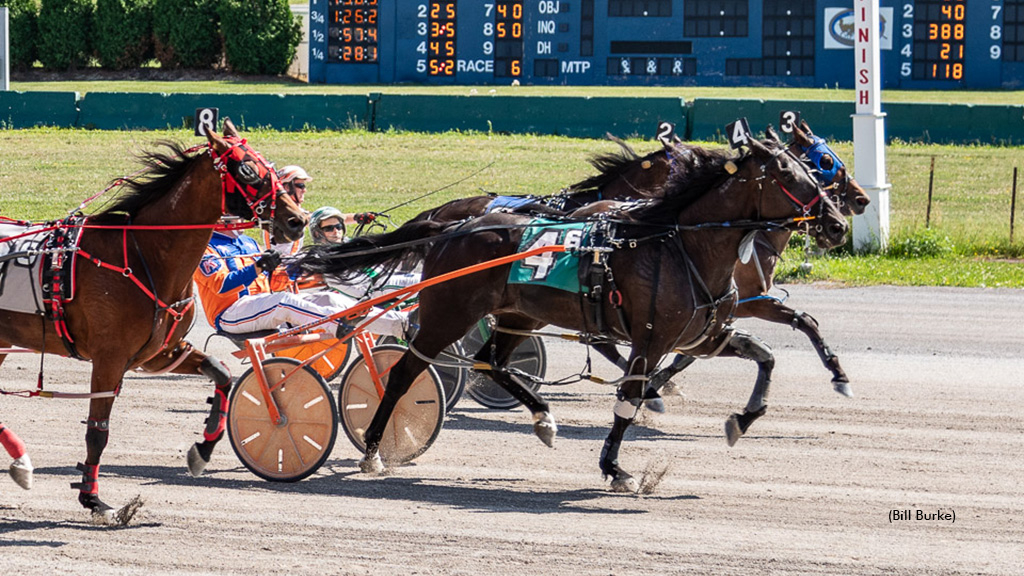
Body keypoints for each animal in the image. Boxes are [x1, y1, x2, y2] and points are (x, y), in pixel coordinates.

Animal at [0, 118, 307, 518]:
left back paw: (21, 463)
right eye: (247, 170)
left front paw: (202, 450)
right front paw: (94, 499)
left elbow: (221, 374)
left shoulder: (159, 352)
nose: (297, 220)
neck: (143, 256)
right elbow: (98, 431)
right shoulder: (110, 358)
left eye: (268, 165)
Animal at [296, 135, 847, 487]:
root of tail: (451, 227)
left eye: (811, 169)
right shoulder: (651, 339)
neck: (677, 244)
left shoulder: (705, 335)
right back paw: (372, 451)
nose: (839, 222)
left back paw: (543, 418)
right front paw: (616, 468)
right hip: (446, 315)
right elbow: (629, 398)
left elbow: (766, 357)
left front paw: (741, 420)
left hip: (520, 315)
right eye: (789, 173)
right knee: (405, 371)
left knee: (491, 361)